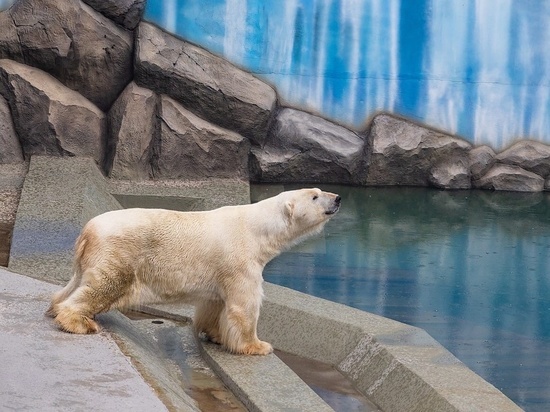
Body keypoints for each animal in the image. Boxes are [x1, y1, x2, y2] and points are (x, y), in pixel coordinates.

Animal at [46, 188, 340, 356]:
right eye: (315, 196)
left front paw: (215, 334)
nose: (337, 198)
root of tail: (87, 231)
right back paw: (77, 321)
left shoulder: (219, 271)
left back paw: (57, 306)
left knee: (76, 284)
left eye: (320, 189)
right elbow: (245, 305)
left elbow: (215, 303)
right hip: (121, 251)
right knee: (106, 284)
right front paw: (258, 346)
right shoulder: (241, 260)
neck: (258, 229)